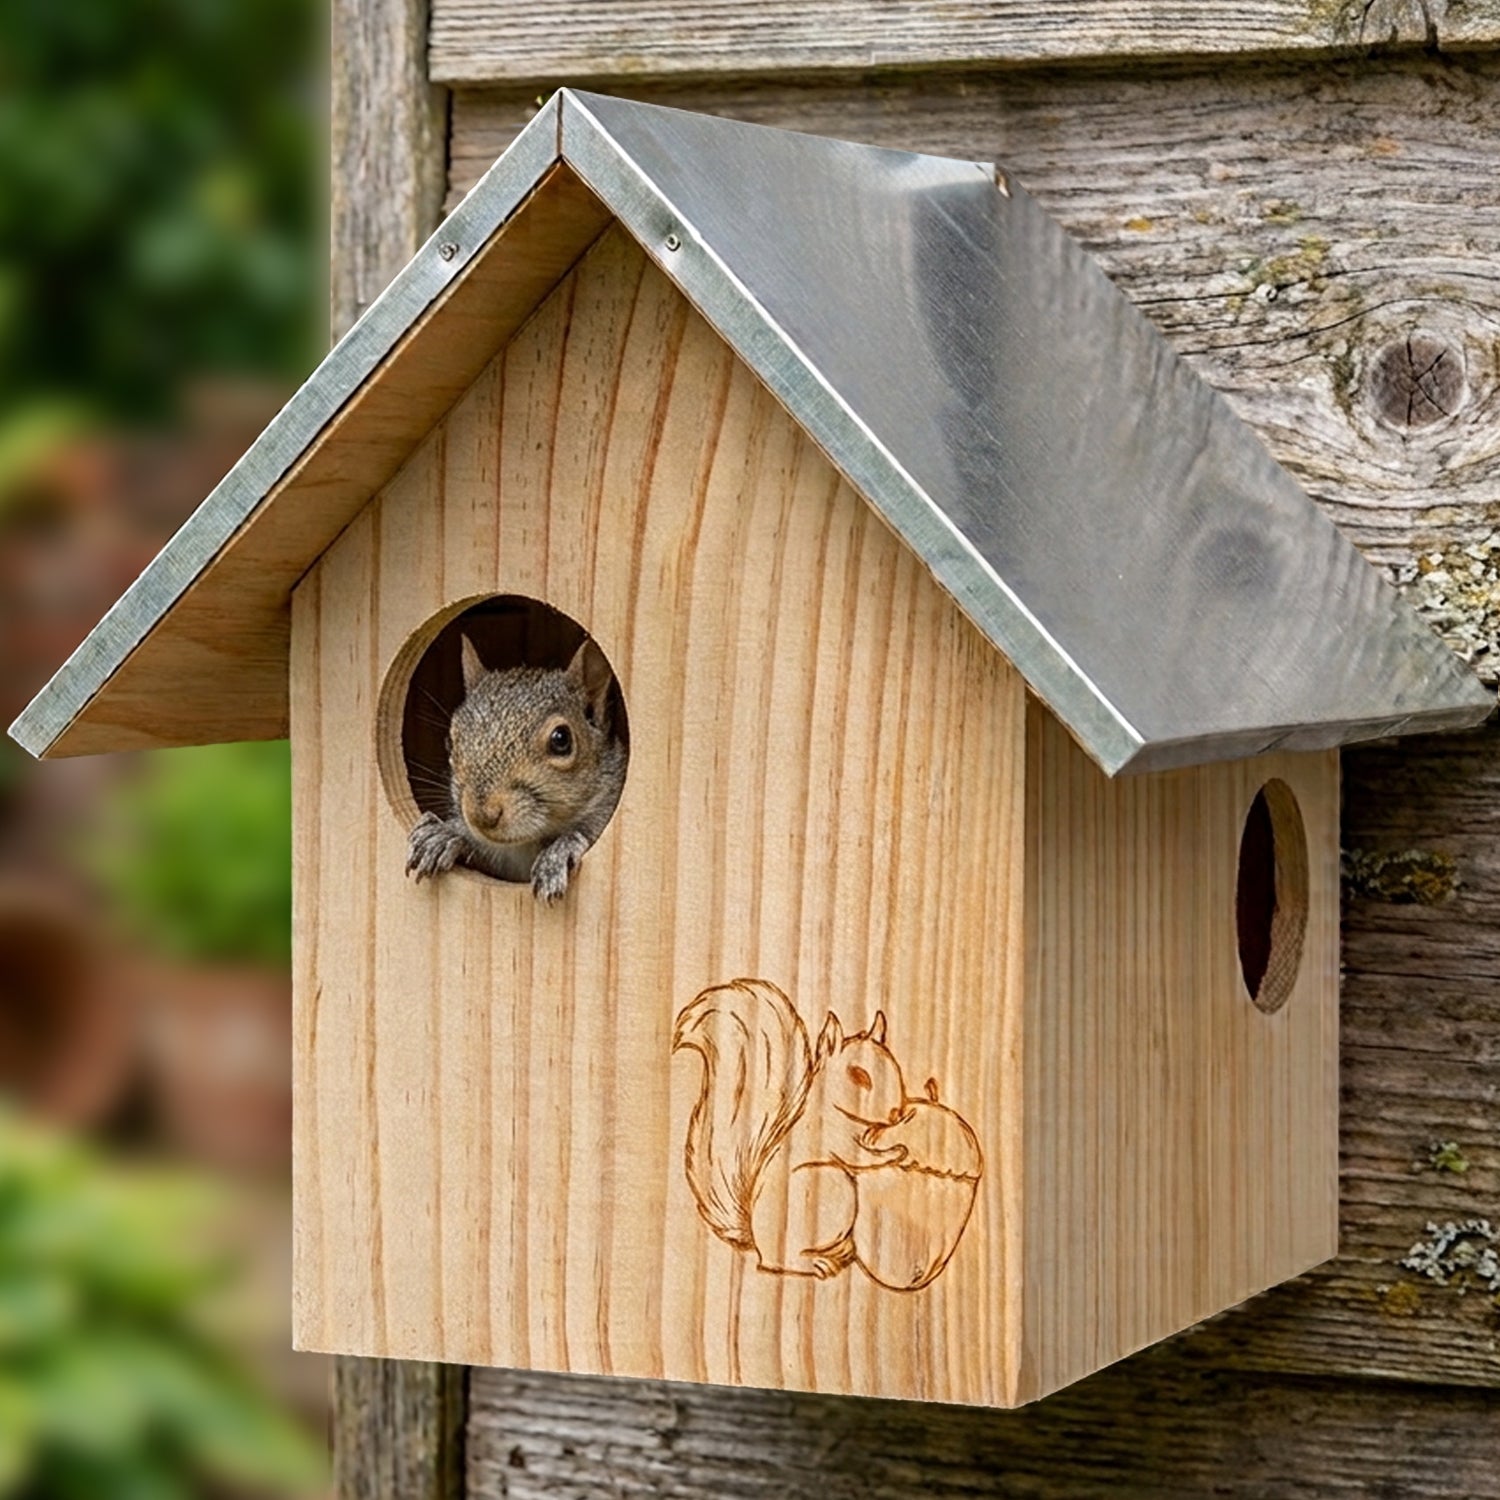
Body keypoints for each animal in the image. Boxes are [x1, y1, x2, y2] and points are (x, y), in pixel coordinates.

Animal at [405, 633, 628, 903]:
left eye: (561, 739)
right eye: (450, 740)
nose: (480, 815)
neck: (526, 845)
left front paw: (558, 852)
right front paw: (444, 834)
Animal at [672, 978, 912, 1279]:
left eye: (896, 1067)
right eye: (859, 1076)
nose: (897, 1112)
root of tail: (758, 1242)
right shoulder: (833, 1138)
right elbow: (859, 1155)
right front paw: (896, 1152)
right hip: (833, 1188)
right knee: (779, 1261)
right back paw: (816, 1263)